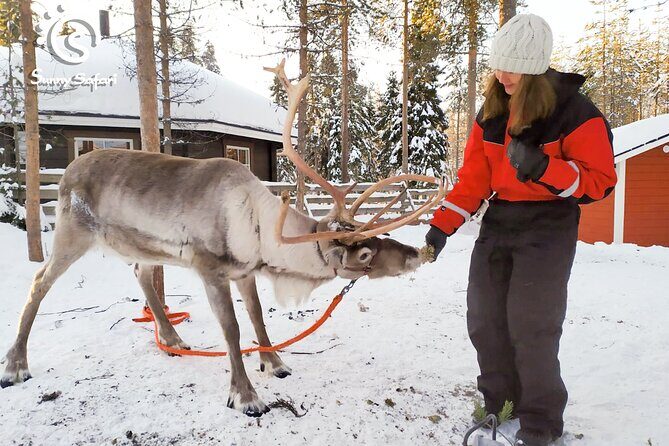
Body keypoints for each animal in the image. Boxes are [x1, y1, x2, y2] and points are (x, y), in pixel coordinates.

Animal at [1, 60, 445, 417]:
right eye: (366, 253)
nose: (416, 253)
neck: (260, 227)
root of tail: (68, 171)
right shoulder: (209, 268)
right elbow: (231, 328)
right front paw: (246, 395)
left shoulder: (245, 270)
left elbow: (257, 315)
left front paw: (275, 362)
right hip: (72, 233)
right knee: (39, 283)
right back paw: (16, 365)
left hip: (142, 245)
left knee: (141, 273)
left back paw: (173, 338)